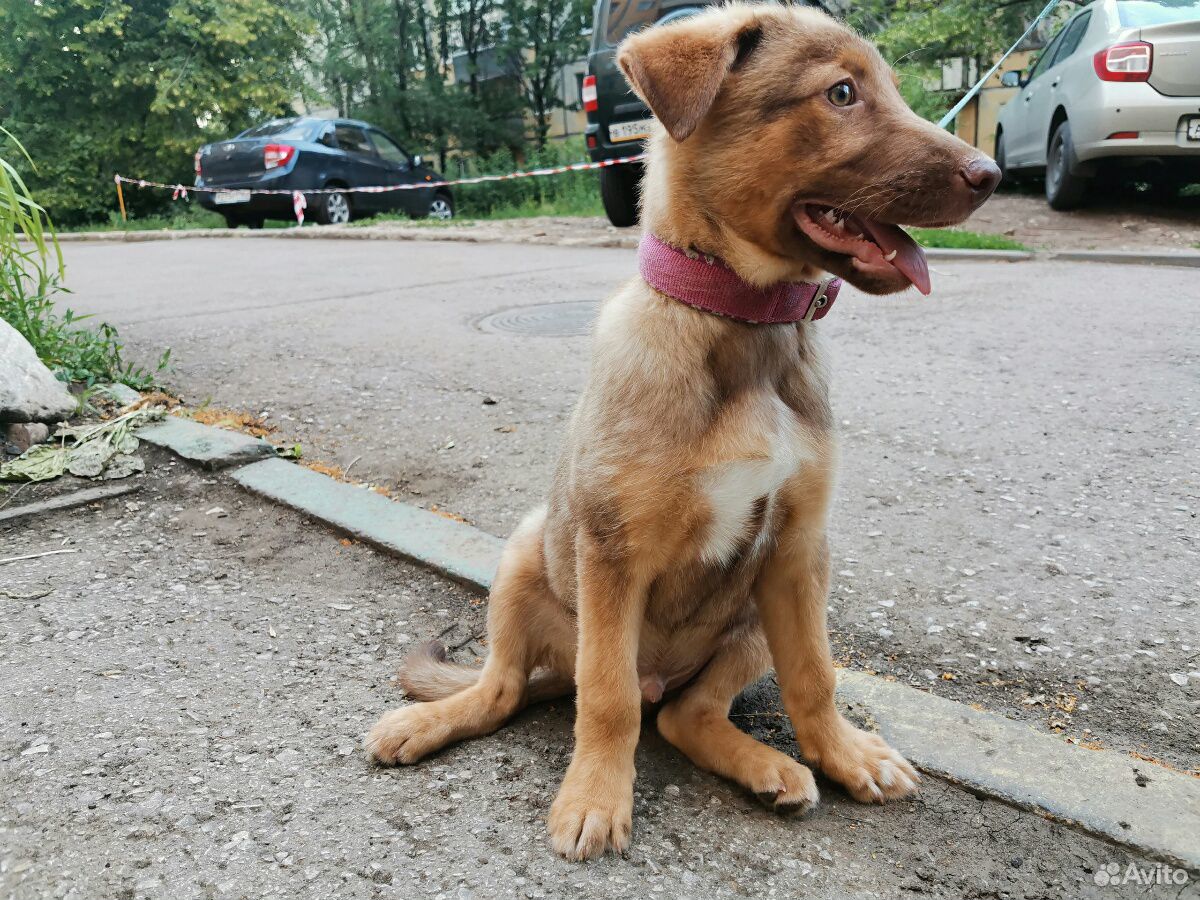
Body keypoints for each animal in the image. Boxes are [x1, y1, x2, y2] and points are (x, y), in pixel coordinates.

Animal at [362, 1, 993, 868]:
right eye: (841, 93)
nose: (991, 174)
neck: (743, 325)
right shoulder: (611, 551)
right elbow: (607, 698)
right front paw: (595, 797)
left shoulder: (800, 551)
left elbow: (815, 675)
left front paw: (841, 752)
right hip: (527, 554)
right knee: (511, 690)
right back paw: (429, 722)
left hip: (752, 614)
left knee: (681, 714)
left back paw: (770, 768)